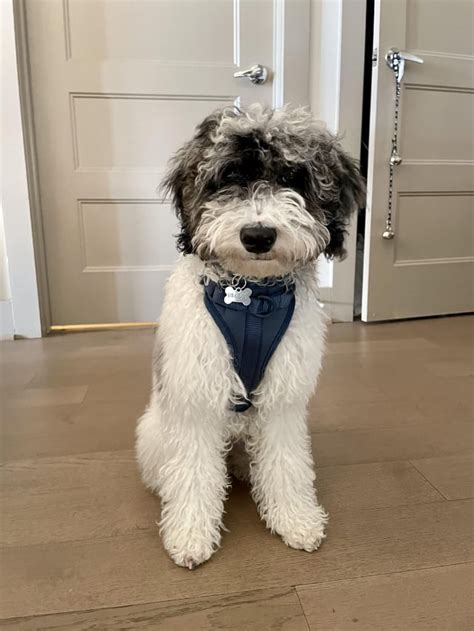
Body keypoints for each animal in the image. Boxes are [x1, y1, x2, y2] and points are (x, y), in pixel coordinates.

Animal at [135, 103, 364, 568]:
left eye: (293, 177)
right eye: (229, 178)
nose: (258, 235)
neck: (252, 297)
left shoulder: (283, 400)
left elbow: (286, 462)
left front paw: (296, 519)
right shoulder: (196, 397)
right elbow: (193, 471)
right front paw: (190, 535)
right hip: (155, 431)